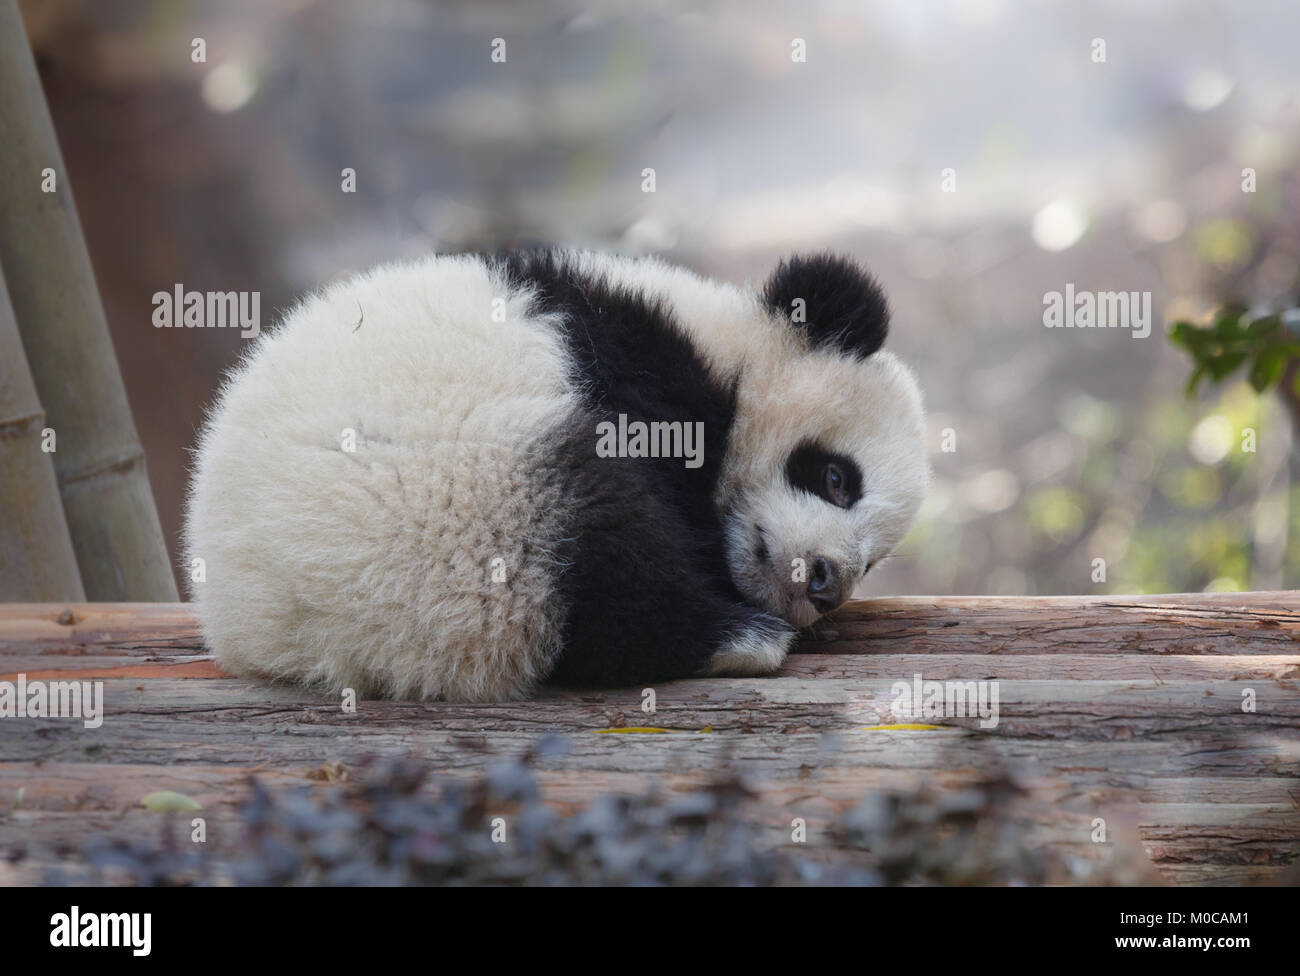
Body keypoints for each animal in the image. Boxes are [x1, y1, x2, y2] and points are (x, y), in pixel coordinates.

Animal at [185, 248, 935, 696]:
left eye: (874, 561)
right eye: (836, 477)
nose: (827, 583)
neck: (720, 342)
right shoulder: (634, 361)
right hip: (454, 511)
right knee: (601, 540)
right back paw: (737, 636)